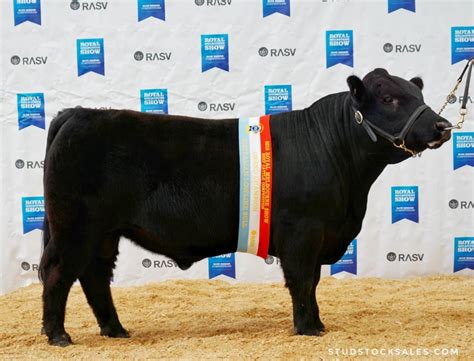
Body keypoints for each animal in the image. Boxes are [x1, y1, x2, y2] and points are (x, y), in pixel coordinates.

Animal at [39, 69, 452, 344]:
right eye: (389, 99)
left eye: (418, 97)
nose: (443, 126)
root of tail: (78, 113)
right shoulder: (303, 232)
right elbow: (303, 281)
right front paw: (308, 328)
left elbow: (312, 282)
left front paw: (316, 323)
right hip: (76, 226)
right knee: (60, 273)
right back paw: (58, 335)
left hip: (104, 233)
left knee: (94, 277)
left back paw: (116, 330)